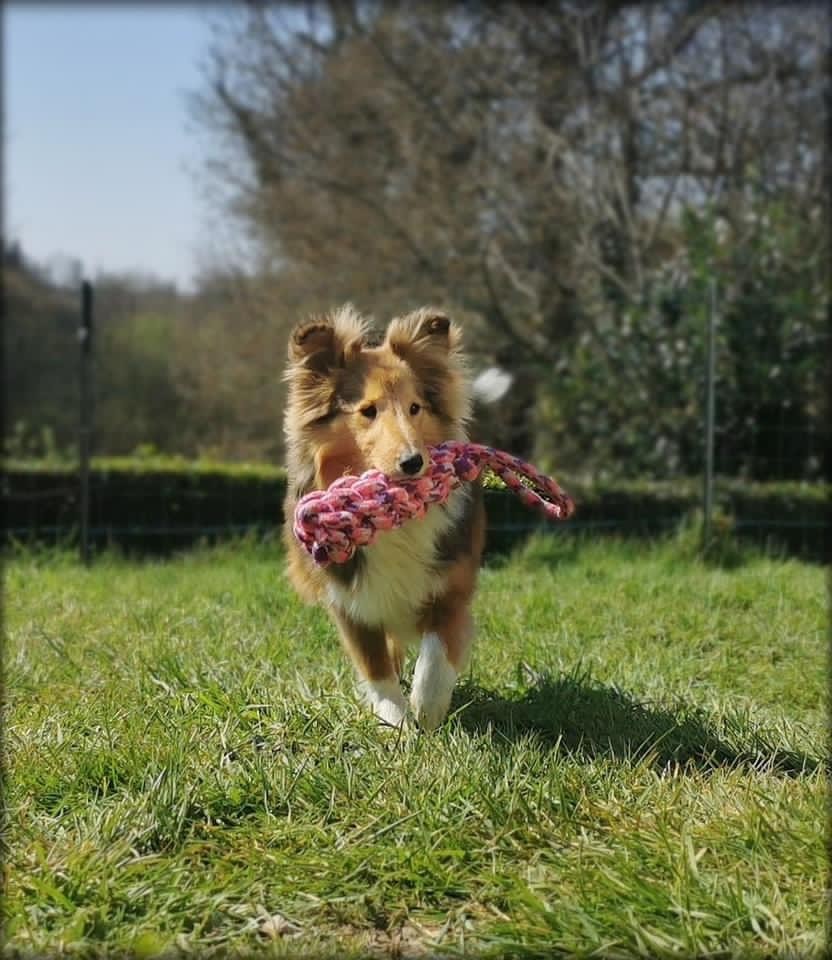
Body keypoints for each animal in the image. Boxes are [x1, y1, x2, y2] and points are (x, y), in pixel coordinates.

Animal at [282, 304, 500, 732]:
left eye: (415, 407)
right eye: (368, 411)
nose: (413, 462)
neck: (392, 519)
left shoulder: (450, 586)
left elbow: (435, 656)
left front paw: (426, 712)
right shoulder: (350, 602)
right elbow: (377, 668)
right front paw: (397, 724)